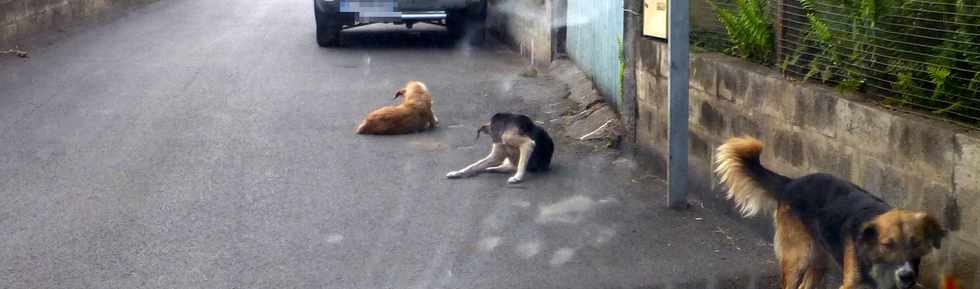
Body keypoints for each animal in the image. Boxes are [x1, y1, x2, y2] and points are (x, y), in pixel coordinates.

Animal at [716, 137, 944, 288]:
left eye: (917, 244)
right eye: (888, 245)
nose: (907, 276)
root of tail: (791, 182)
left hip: (819, 259)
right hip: (798, 257)